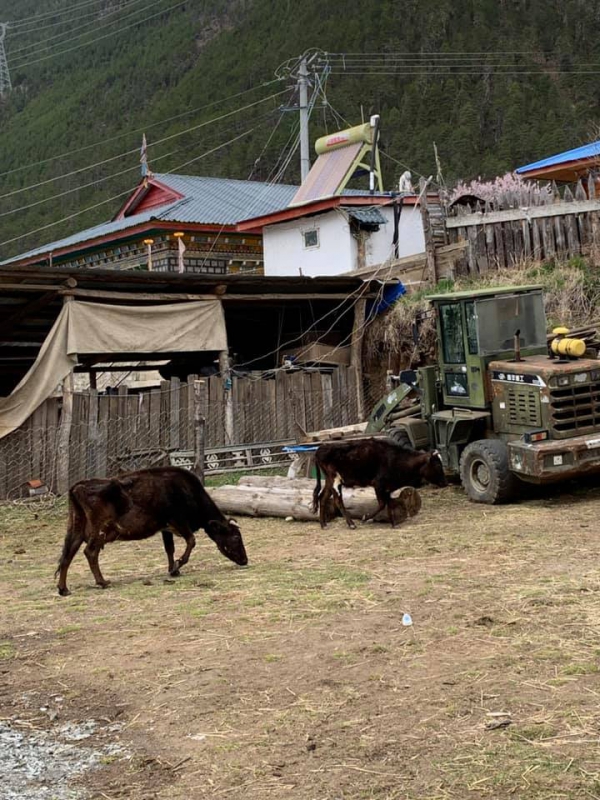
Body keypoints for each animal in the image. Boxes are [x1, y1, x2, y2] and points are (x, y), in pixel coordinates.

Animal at [54, 466, 246, 596]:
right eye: (236, 537)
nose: (245, 560)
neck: (186, 491)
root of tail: (78, 486)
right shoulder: (178, 521)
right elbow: (191, 541)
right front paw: (177, 565)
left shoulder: (166, 528)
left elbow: (170, 549)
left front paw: (173, 570)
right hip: (99, 529)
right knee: (90, 552)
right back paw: (102, 582)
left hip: (76, 529)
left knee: (67, 556)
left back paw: (63, 589)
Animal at [314, 434, 446, 528]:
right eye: (438, 465)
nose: (445, 483)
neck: (396, 459)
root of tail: (322, 447)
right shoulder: (378, 485)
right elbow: (382, 504)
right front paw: (365, 518)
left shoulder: (387, 488)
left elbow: (389, 504)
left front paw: (393, 523)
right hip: (335, 479)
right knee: (337, 500)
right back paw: (351, 524)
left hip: (329, 480)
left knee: (322, 497)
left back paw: (323, 524)